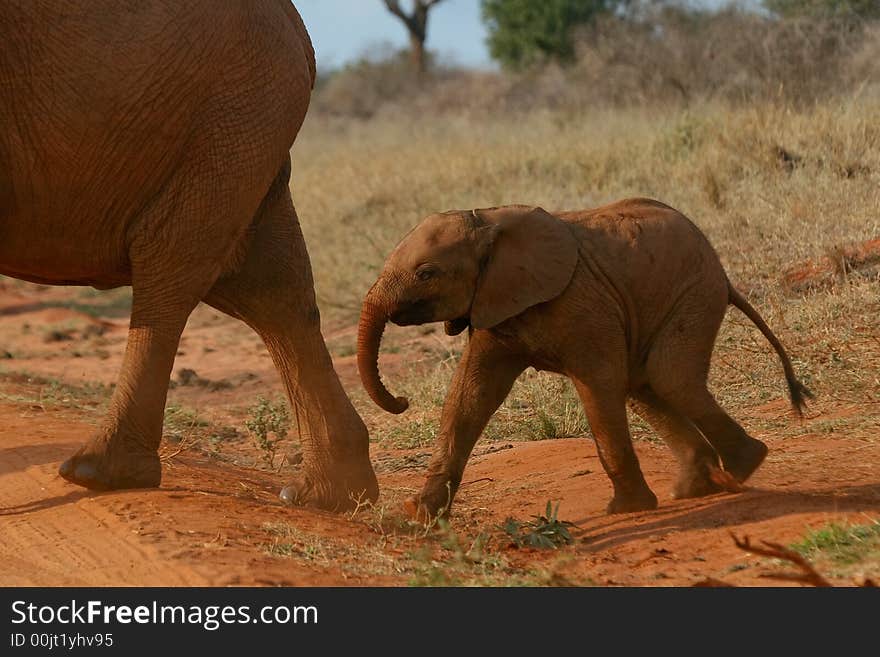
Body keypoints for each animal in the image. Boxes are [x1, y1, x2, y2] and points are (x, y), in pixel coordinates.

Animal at [0, 0, 374, 508]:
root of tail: (299, 30)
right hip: (239, 121)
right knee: (272, 287)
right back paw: (333, 495)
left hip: (227, 115)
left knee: (172, 263)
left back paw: (98, 473)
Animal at [358, 197, 812, 516]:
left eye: (426, 274)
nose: (401, 401)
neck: (488, 218)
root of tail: (724, 274)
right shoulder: (494, 304)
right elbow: (469, 397)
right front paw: (418, 515)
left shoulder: (580, 303)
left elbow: (598, 384)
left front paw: (625, 510)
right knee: (645, 385)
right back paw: (695, 489)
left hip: (694, 293)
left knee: (668, 377)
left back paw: (744, 466)